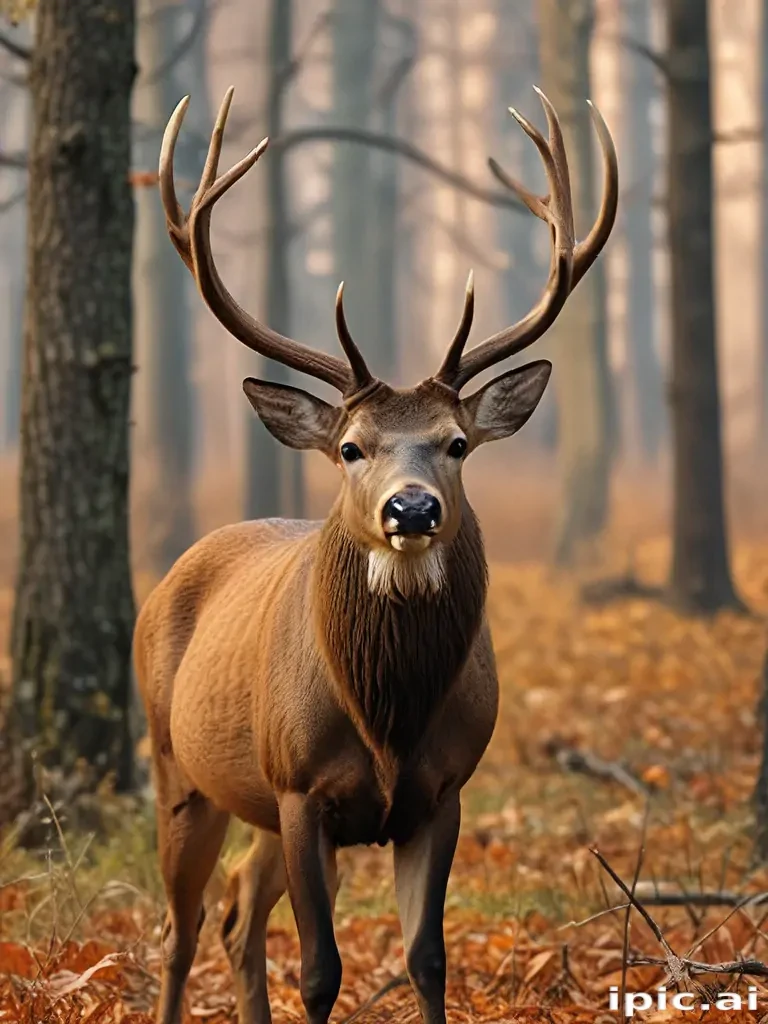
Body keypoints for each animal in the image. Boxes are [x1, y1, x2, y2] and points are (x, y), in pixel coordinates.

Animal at [133, 84, 617, 1024]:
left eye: (457, 443)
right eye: (352, 447)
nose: (413, 506)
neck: (386, 716)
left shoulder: (442, 789)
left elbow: (427, 956)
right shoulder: (299, 786)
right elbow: (321, 969)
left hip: (249, 801)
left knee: (237, 915)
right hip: (179, 765)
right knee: (180, 926)